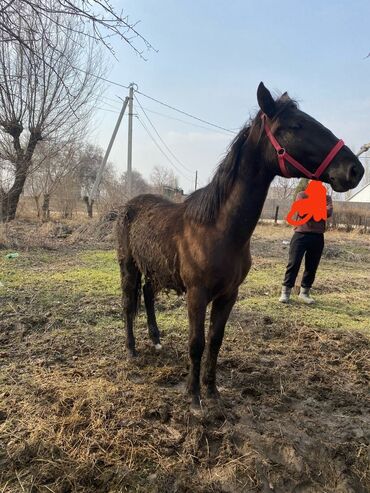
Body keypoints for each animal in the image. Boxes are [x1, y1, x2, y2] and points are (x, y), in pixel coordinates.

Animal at [116, 83, 364, 408]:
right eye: (295, 126)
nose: (354, 169)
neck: (218, 229)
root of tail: (128, 204)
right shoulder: (197, 294)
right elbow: (196, 343)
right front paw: (194, 397)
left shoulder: (229, 295)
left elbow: (215, 342)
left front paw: (212, 392)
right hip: (128, 266)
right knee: (128, 303)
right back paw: (131, 349)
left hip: (157, 270)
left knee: (146, 294)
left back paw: (156, 341)